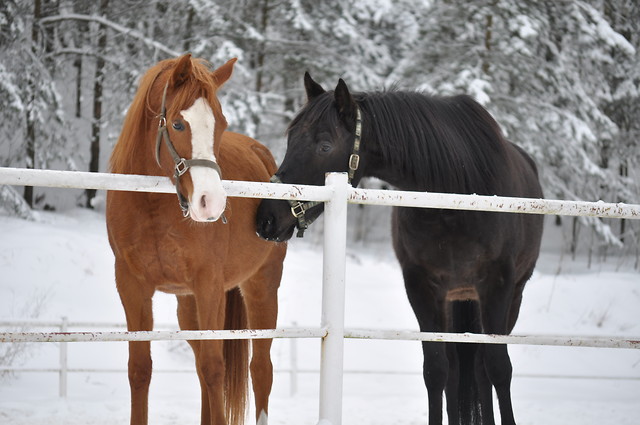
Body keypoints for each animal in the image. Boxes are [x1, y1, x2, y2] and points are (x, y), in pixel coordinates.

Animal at [105, 53, 284, 424]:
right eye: (177, 124)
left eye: (221, 122)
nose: (210, 202)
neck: (152, 205)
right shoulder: (131, 286)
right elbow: (140, 369)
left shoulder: (209, 285)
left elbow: (215, 368)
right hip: (188, 306)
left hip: (261, 287)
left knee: (260, 369)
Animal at [258, 73, 544, 424]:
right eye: (291, 139)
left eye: (324, 145)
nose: (267, 218)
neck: (455, 194)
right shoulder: (420, 287)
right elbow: (436, 371)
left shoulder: (498, 286)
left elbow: (498, 368)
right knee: (456, 367)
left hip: (509, 295)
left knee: (480, 368)